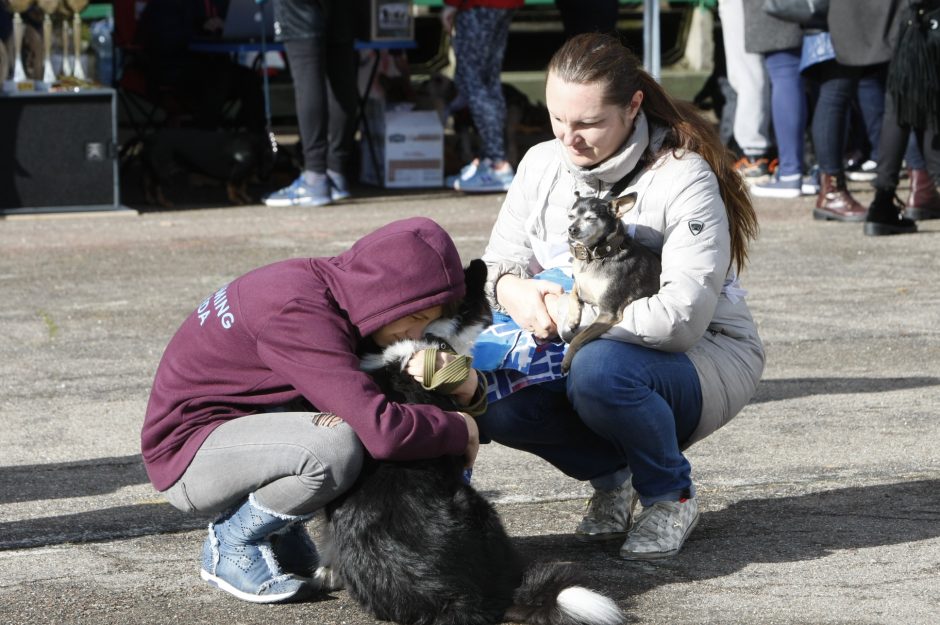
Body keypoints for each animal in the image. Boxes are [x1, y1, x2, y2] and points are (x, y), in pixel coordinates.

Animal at [560, 191, 664, 370]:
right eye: (570, 216)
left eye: (591, 218)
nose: (571, 229)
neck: (594, 257)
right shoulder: (580, 286)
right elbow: (573, 294)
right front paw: (573, 318)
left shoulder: (607, 314)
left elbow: (578, 337)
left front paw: (566, 361)